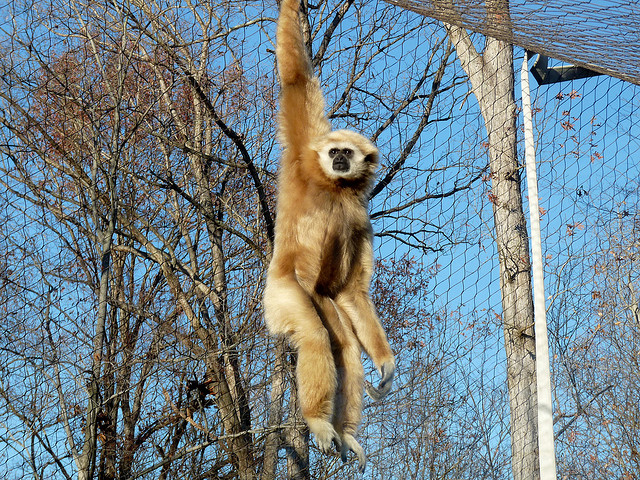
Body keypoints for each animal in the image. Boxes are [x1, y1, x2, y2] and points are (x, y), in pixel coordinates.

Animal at [262, 0, 395, 472]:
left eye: (347, 154)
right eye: (333, 150)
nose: (338, 158)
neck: (334, 188)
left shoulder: (361, 220)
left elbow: (354, 290)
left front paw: (386, 365)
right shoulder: (304, 156)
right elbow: (295, 79)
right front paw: (291, 7)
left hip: (324, 300)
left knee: (347, 348)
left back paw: (345, 432)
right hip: (285, 295)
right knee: (316, 337)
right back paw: (319, 422)